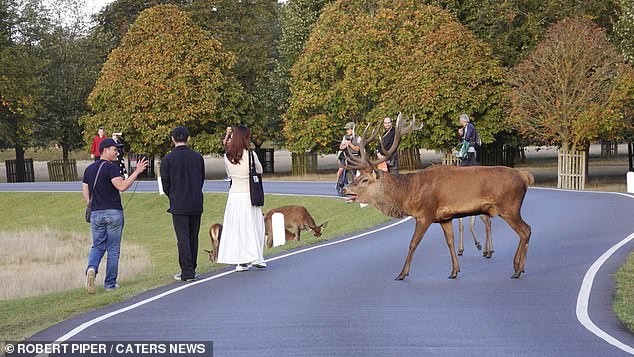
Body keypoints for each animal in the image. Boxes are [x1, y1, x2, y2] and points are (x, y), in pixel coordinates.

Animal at [338, 112, 532, 280]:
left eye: (364, 179)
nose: (344, 189)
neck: (409, 192)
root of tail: (524, 177)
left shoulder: (425, 213)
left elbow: (412, 243)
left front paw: (402, 273)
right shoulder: (444, 218)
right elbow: (450, 242)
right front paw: (454, 271)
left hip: (509, 206)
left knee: (526, 230)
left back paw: (517, 269)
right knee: (525, 230)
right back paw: (519, 267)